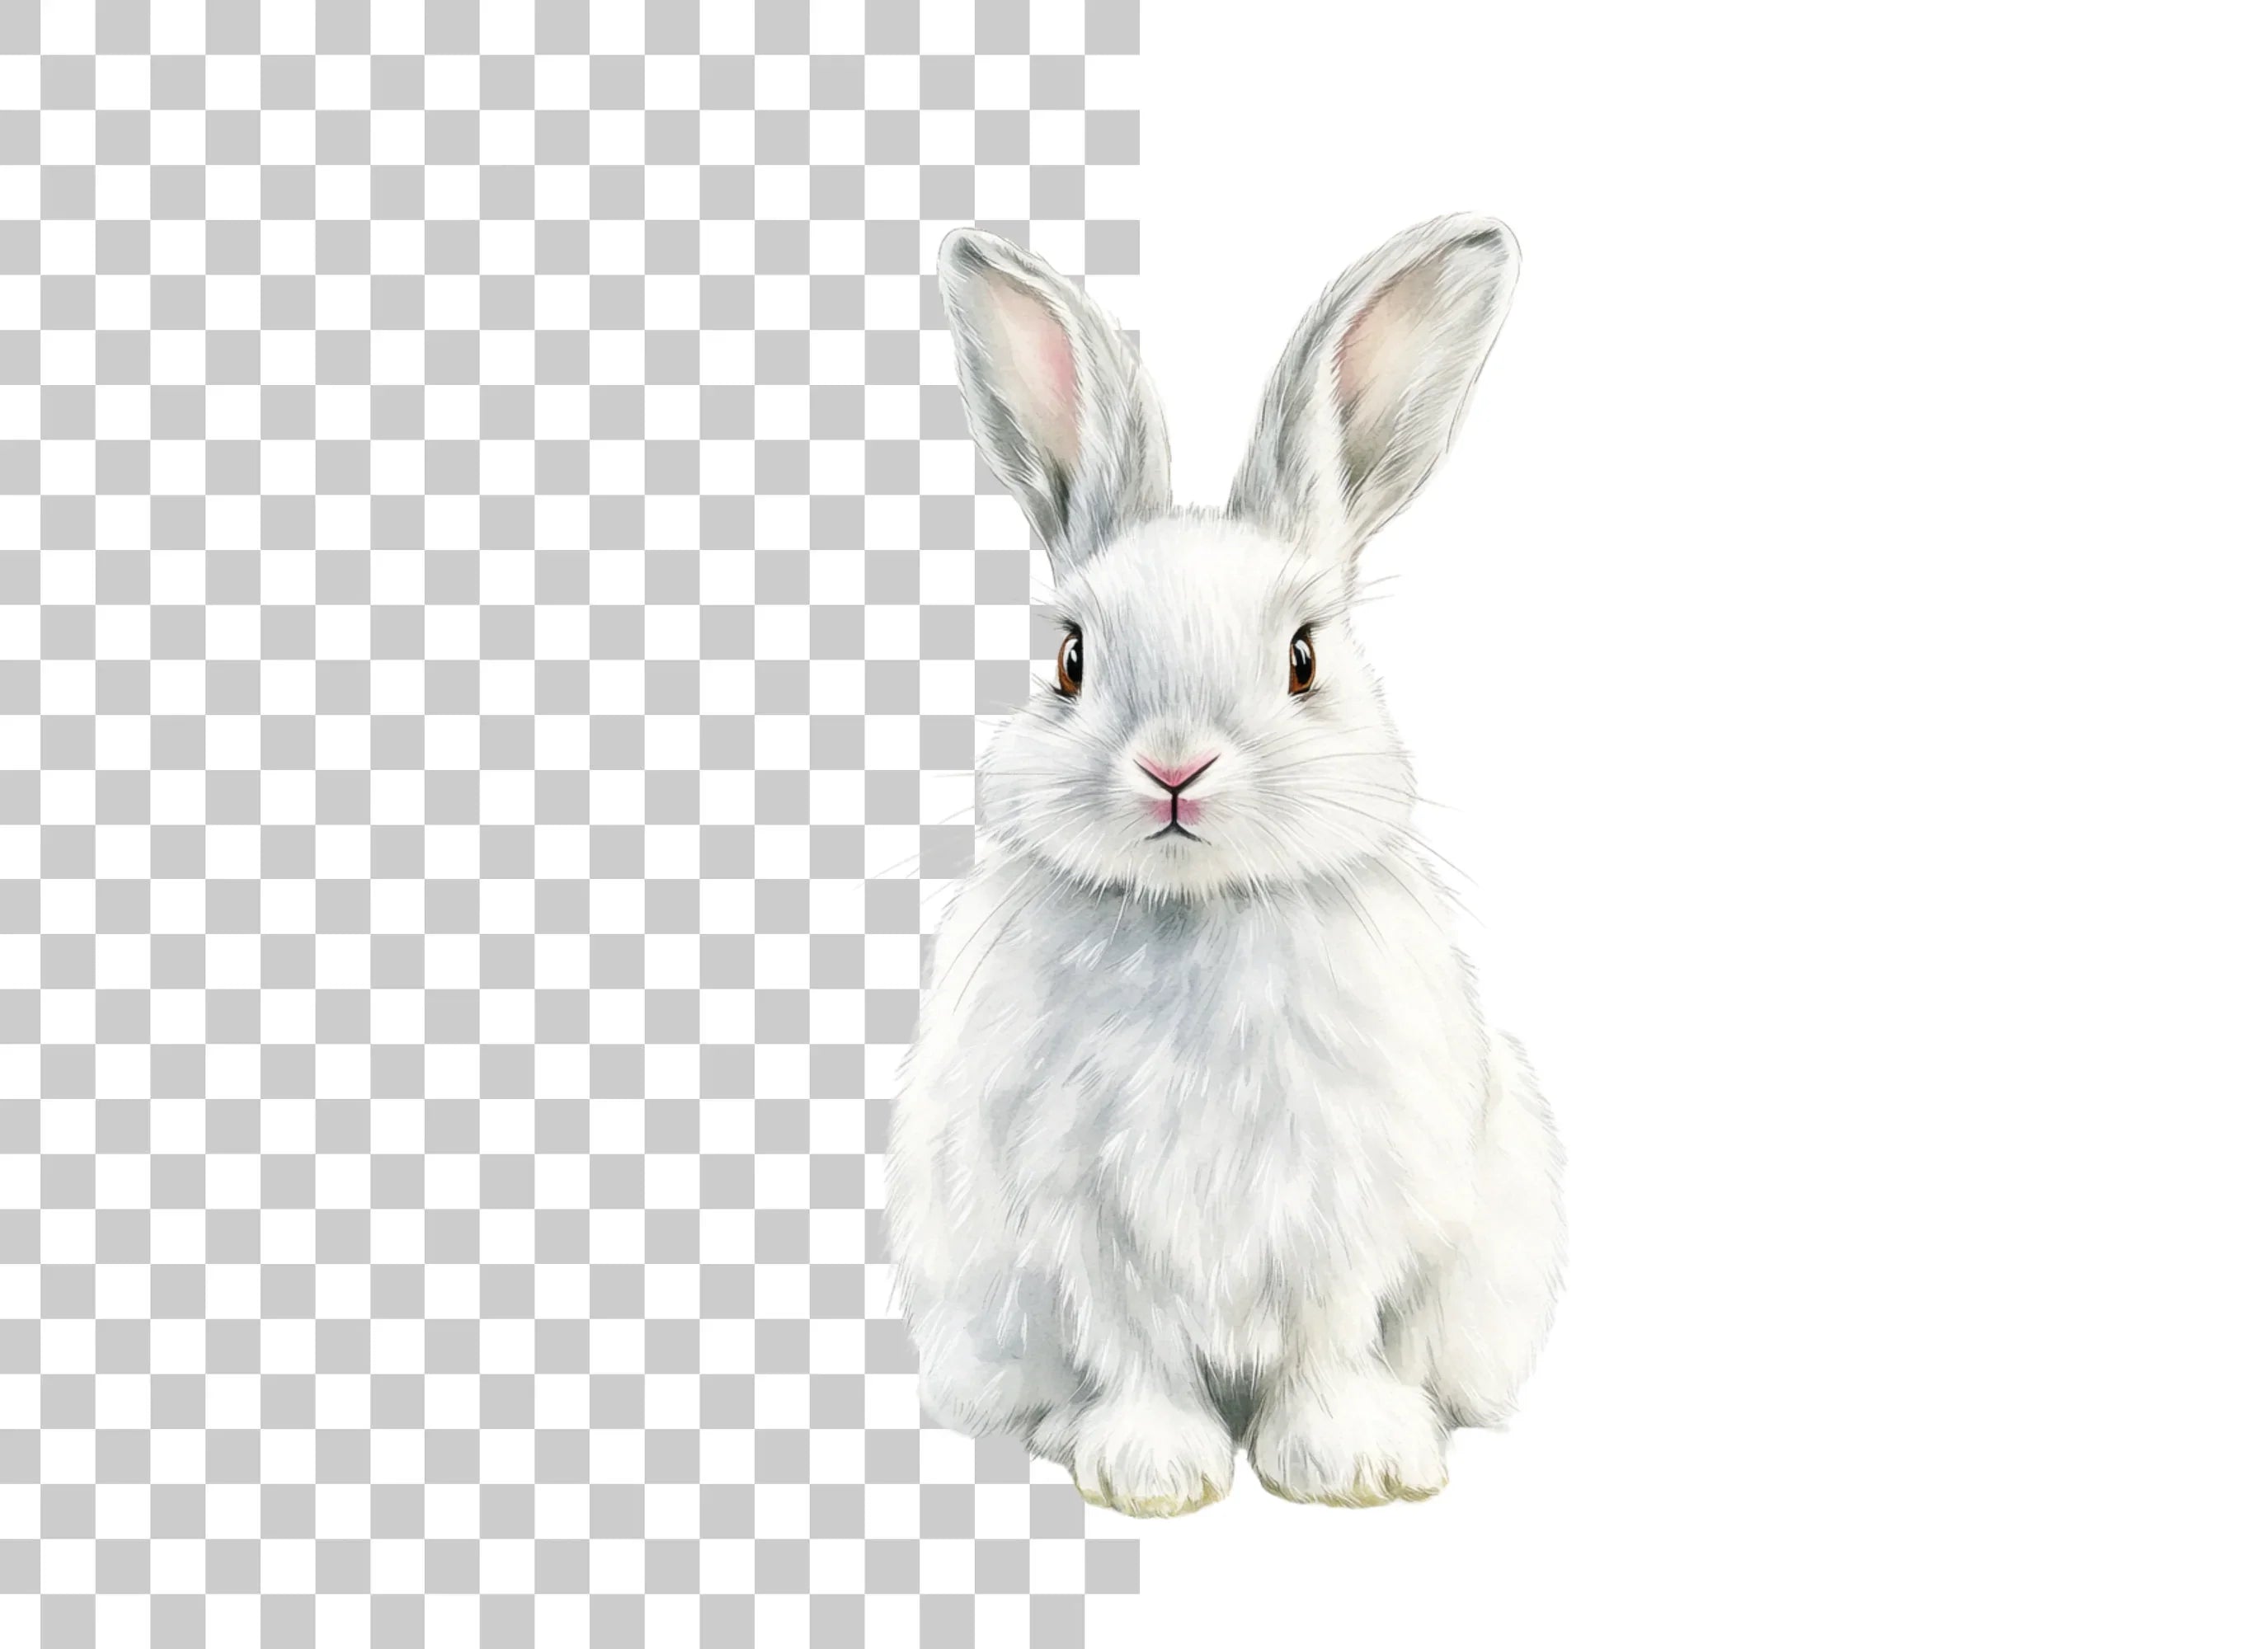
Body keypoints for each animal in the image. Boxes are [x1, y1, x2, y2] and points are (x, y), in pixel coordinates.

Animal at [885, 215, 1566, 1517]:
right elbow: (1134, 1339)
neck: (1192, 913)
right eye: (1070, 659)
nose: (1174, 769)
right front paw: (1152, 1471)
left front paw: (1350, 1463)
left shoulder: (1345, 1205)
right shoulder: (1083, 1220)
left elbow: (1327, 1335)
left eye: (1303, 657)